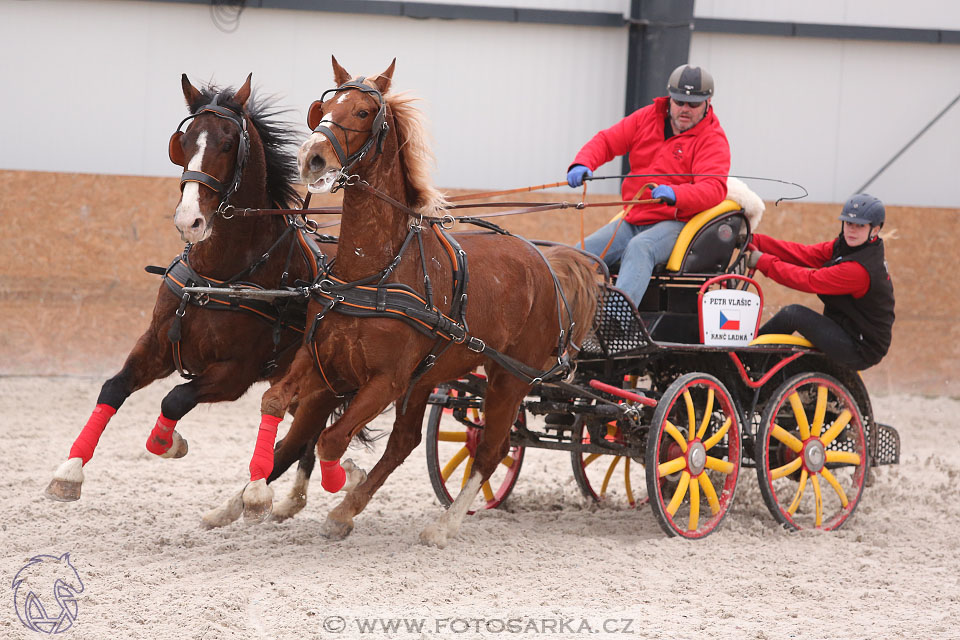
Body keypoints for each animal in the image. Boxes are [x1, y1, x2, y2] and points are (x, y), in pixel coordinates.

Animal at [45, 74, 330, 516]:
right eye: (185, 139)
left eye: (228, 144)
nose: (188, 220)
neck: (218, 275)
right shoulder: (157, 344)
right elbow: (113, 387)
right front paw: (70, 471)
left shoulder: (237, 372)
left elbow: (174, 400)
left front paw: (169, 442)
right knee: (308, 427)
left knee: (309, 431)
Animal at [205, 58, 600, 544]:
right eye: (324, 108)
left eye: (362, 112)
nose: (311, 157)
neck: (374, 271)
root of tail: (546, 261)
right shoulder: (322, 361)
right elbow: (277, 405)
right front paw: (255, 497)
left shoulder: (387, 381)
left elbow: (331, 440)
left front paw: (344, 479)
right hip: (429, 377)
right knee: (406, 442)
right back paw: (346, 509)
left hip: (509, 378)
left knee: (492, 449)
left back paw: (441, 525)